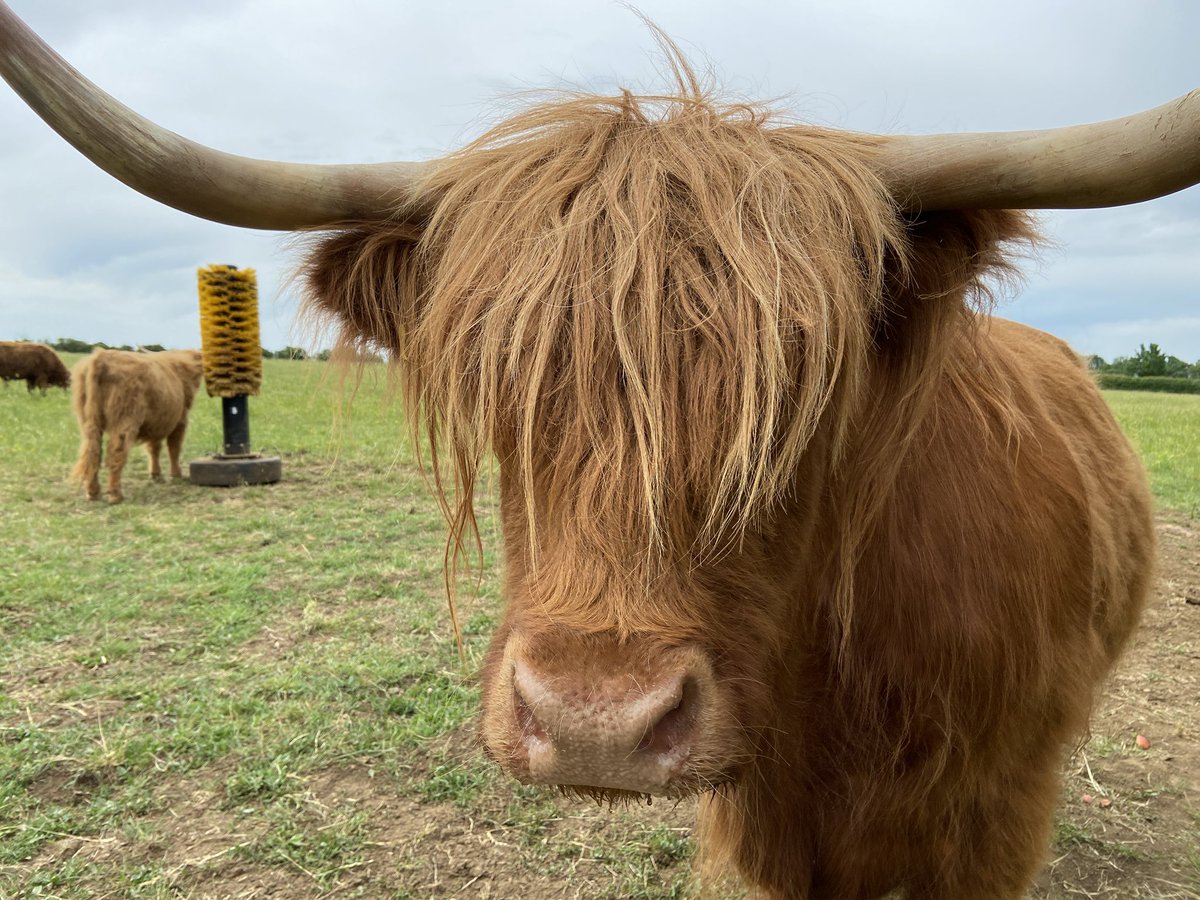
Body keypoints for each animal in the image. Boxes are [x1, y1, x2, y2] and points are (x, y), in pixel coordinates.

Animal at [70, 348, 204, 504]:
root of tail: (101, 356)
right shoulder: (180, 421)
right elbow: (174, 449)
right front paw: (176, 474)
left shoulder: (157, 423)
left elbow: (154, 448)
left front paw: (156, 474)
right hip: (125, 420)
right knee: (116, 453)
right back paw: (116, 495)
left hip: (88, 423)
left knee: (92, 453)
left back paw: (92, 492)